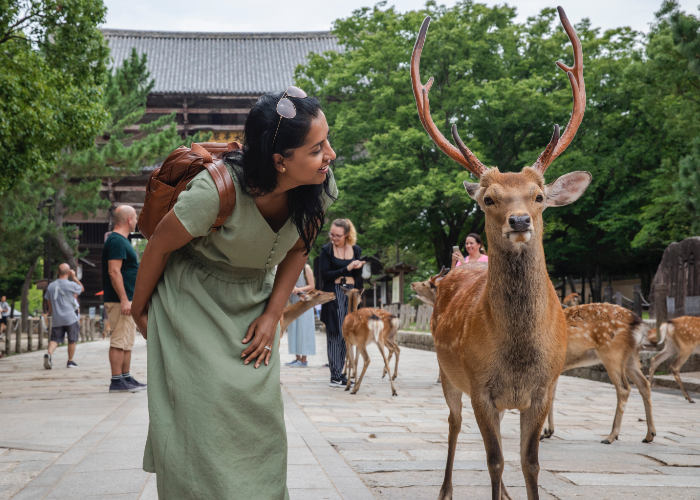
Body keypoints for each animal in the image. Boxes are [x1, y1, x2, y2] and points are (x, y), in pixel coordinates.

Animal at [412, 6, 592, 496]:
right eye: (489, 198)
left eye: (539, 196)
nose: (519, 221)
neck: (517, 356)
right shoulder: (480, 387)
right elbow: (494, 461)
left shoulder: (543, 390)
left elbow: (529, 463)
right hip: (447, 372)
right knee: (454, 424)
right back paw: (444, 488)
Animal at [540, 302, 656, 444]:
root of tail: (637, 324)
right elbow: (551, 396)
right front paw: (547, 431)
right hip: (630, 357)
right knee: (644, 384)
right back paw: (649, 435)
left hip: (612, 353)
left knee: (624, 388)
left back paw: (611, 436)